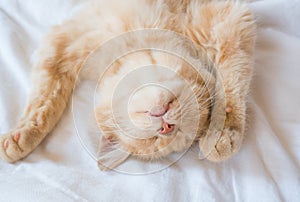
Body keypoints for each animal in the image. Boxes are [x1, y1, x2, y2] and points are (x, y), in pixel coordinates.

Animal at [0, 0, 255, 170]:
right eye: (153, 138)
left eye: (175, 130)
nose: (165, 126)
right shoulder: (64, 43)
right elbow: (45, 99)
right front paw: (25, 134)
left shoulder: (227, 19)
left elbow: (232, 82)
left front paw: (222, 133)